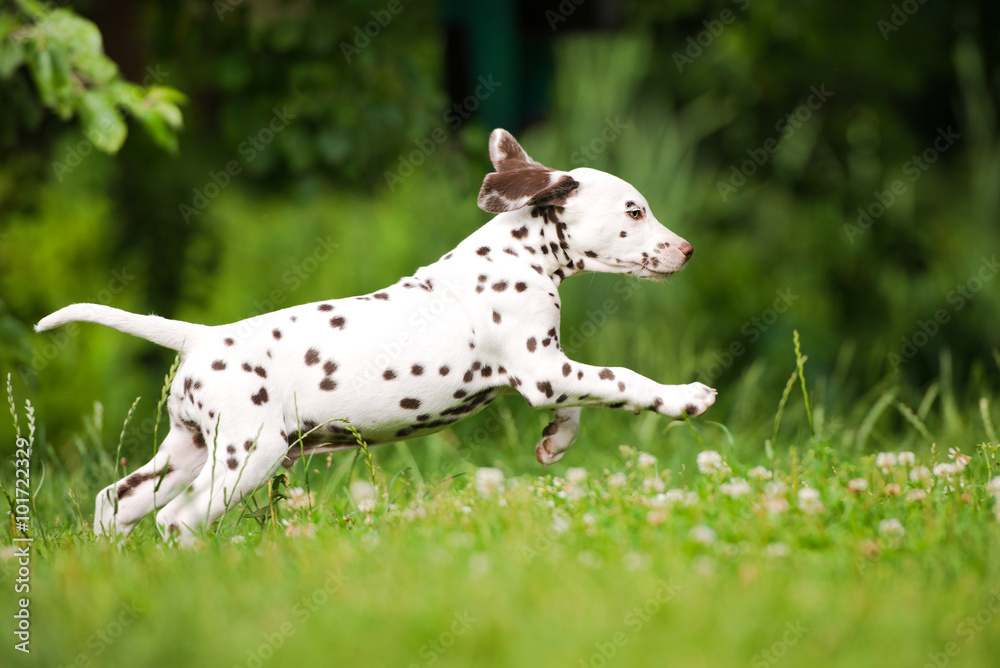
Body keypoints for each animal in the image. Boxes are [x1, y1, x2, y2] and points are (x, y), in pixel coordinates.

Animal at [35, 129, 716, 544]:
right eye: (635, 211)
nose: (687, 250)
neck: (515, 256)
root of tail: (199, 338)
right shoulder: (544, 370)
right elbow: (620, 380)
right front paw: (685, 398)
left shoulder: (548, 371)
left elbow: (582, 400)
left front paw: (555, 443)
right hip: (247, 456)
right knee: (179, 521)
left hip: (189, 449)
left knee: (117, 500)